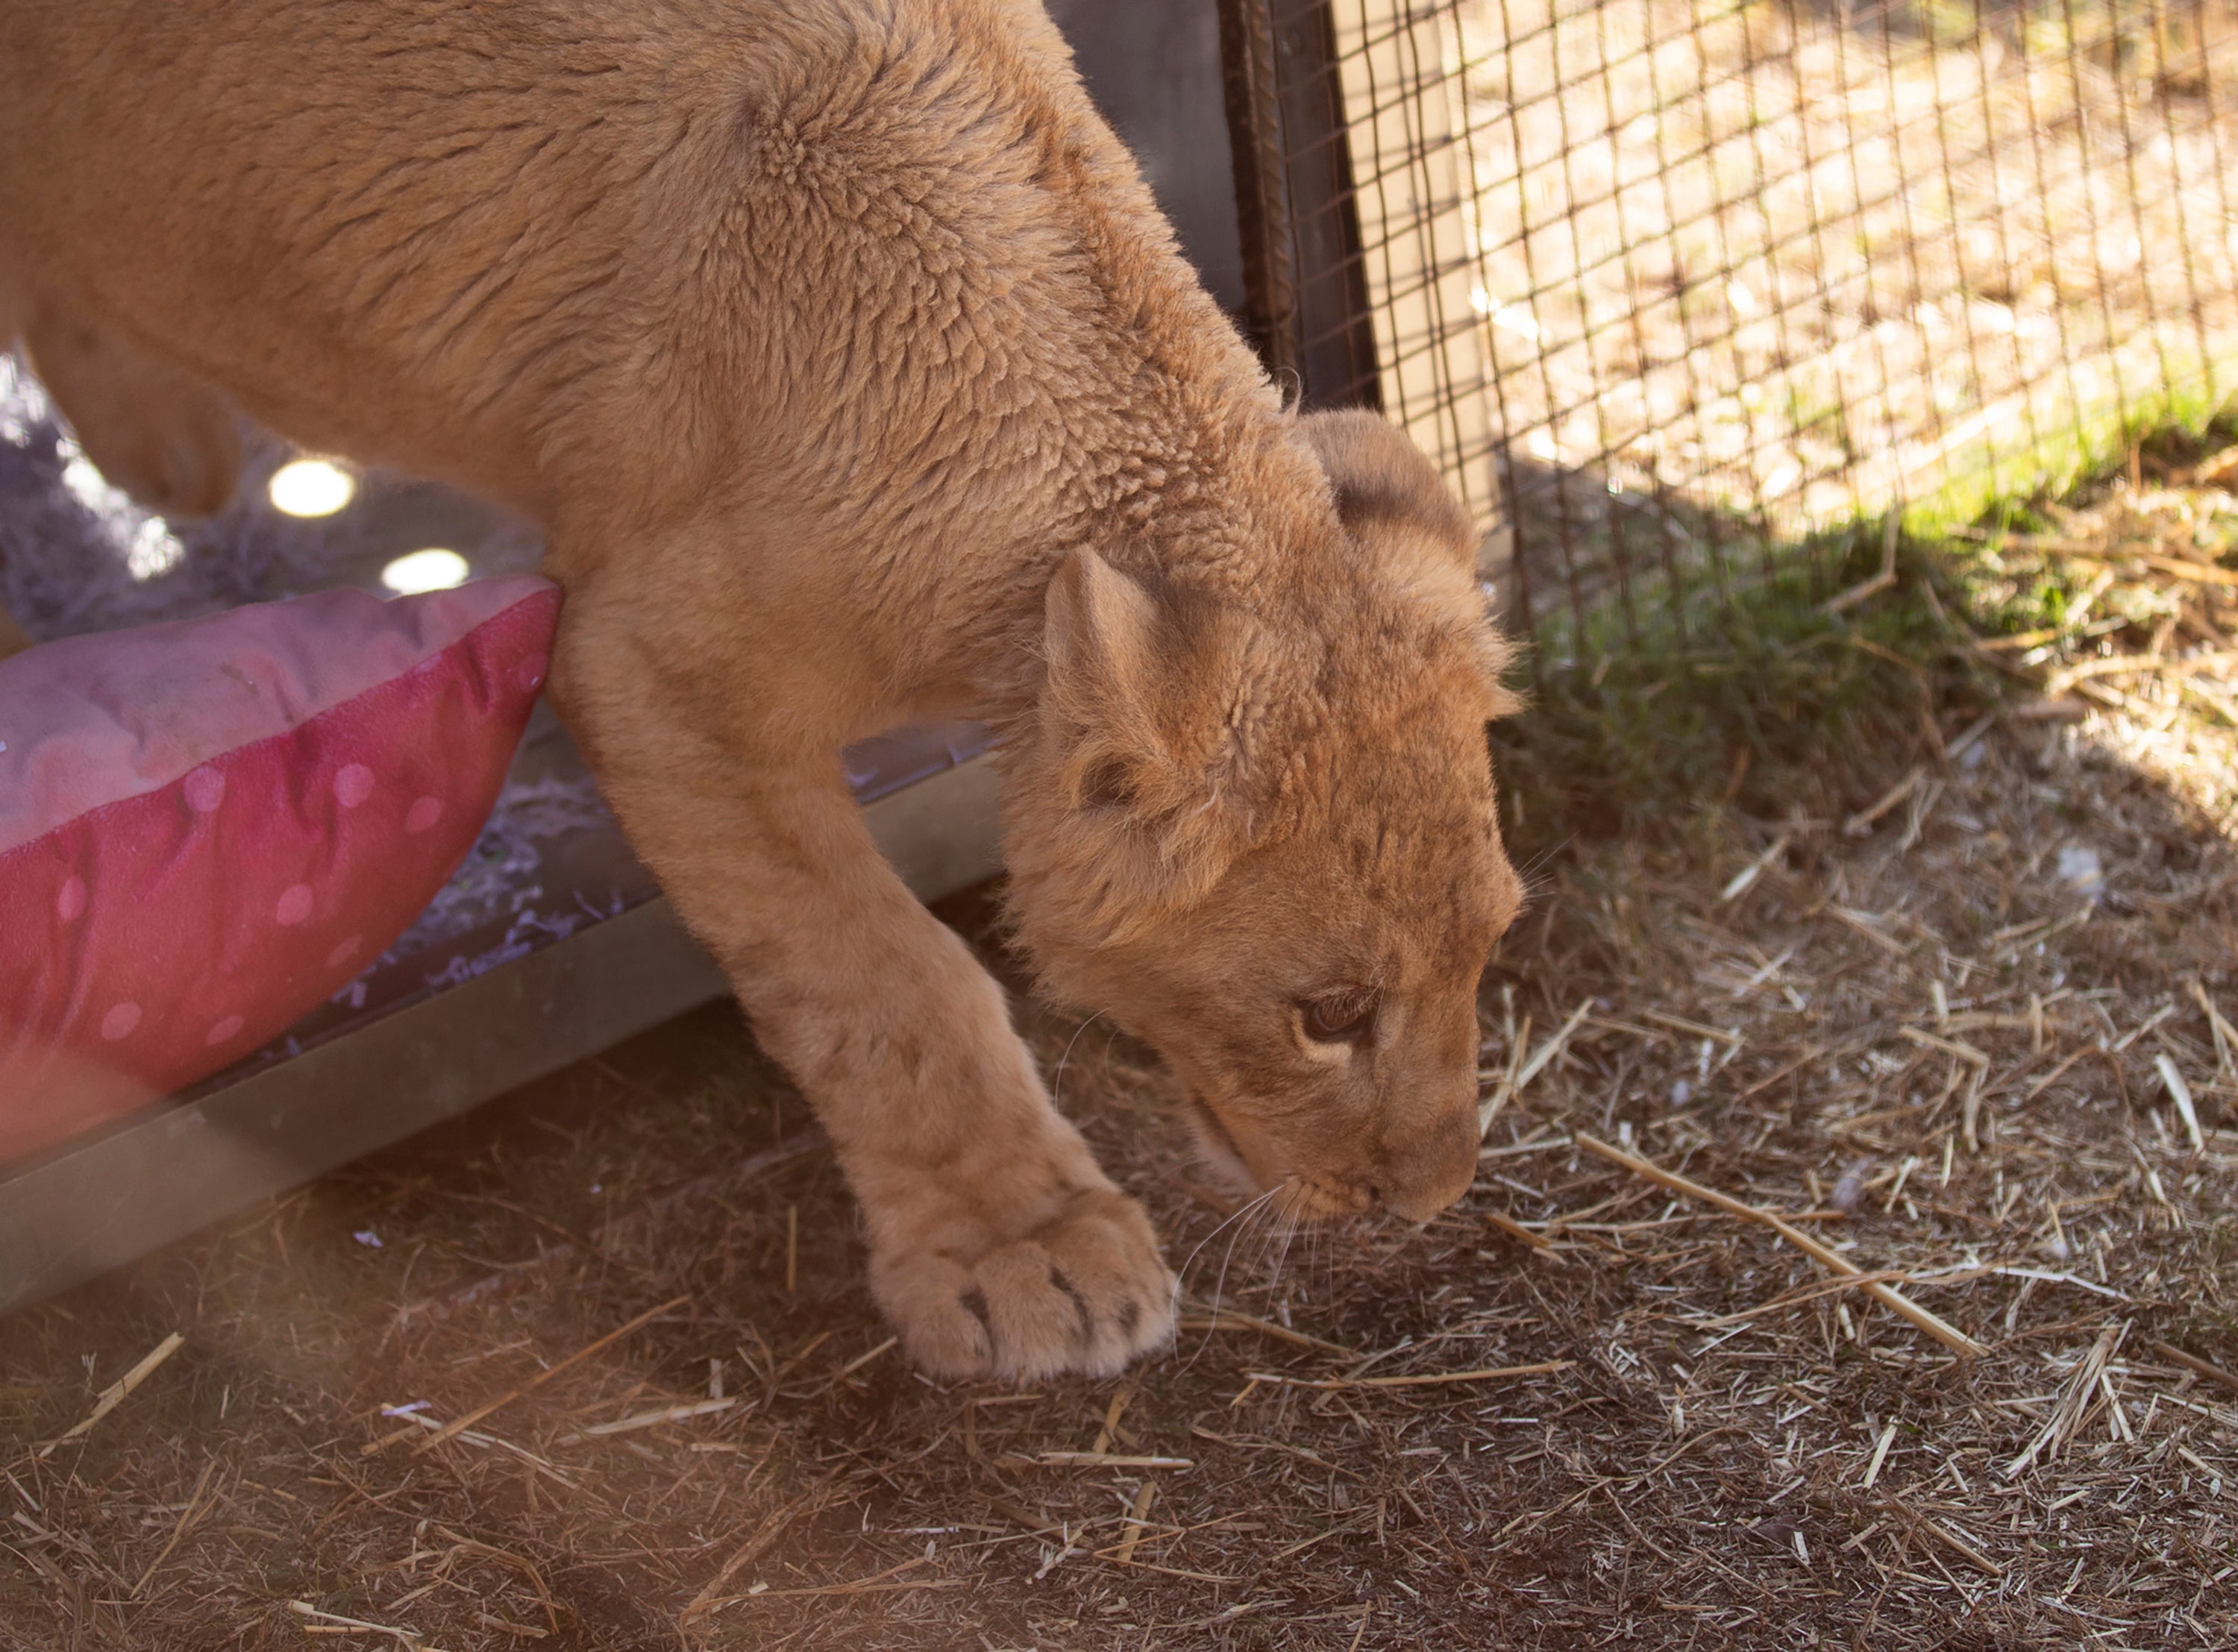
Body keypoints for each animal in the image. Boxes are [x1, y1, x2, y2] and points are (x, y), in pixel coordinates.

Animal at [0, 0, 1523, 1378]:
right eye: (1331, 1012)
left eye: (1494, 942)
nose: (1433, 1198)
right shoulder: (646, 657)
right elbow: (886, 973)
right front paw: (1024, 1253)